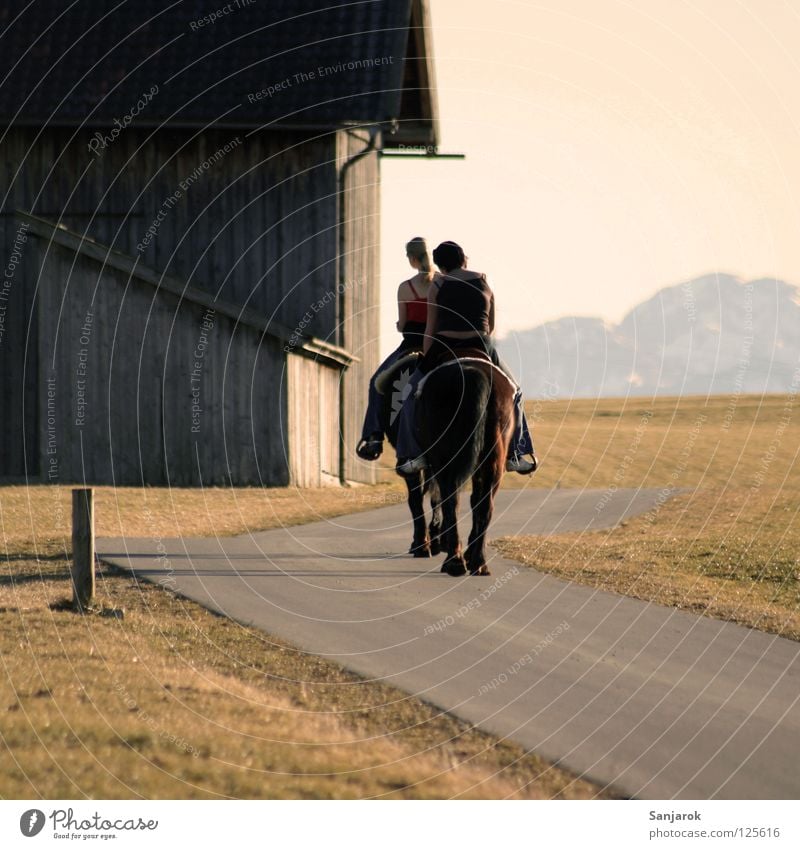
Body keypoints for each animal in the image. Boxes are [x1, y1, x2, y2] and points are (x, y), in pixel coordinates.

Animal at [410, 352, 516, 576]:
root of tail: (473, 373)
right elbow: (475, 502)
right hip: (494, 460)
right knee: (484, 505)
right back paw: (478, 562)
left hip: (444, 460)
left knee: (451, 500)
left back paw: (454, 561)